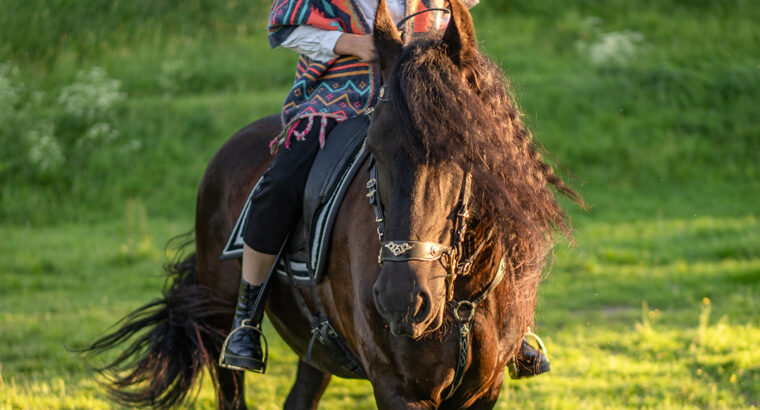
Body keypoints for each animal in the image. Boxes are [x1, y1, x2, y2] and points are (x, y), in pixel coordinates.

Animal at [84, 0, 580, 408]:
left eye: (466, 146)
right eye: (373, 148)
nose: (402, 300)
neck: (457, 298)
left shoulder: (483, 391)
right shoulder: (398, 388)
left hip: (315, 348)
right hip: (218, 321)